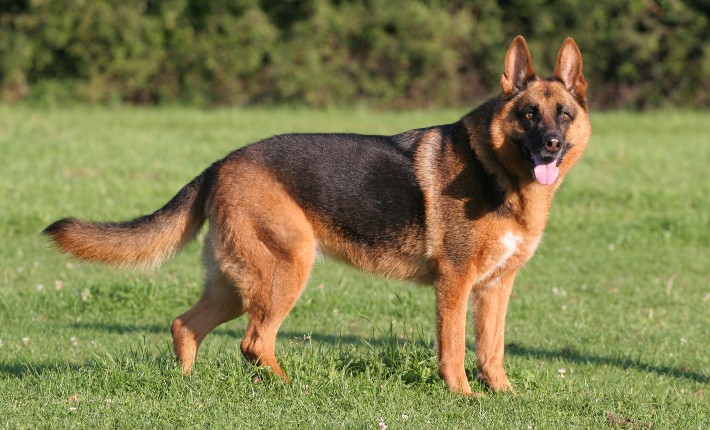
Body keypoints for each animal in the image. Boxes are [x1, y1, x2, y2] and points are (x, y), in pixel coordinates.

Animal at [43, 37, 596, 396]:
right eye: (527, 114)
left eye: (564, 115)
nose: (551, 145)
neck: (498, 170)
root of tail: (221, 163)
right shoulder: (455, 284)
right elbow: (455, 350)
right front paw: (461, 396)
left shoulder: (496, 288)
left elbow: (492, 350)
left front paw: (502, 394)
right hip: (286, 272)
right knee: (253, 342)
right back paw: (291, 388)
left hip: (236, 285)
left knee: (186, 326)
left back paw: (186, 386)